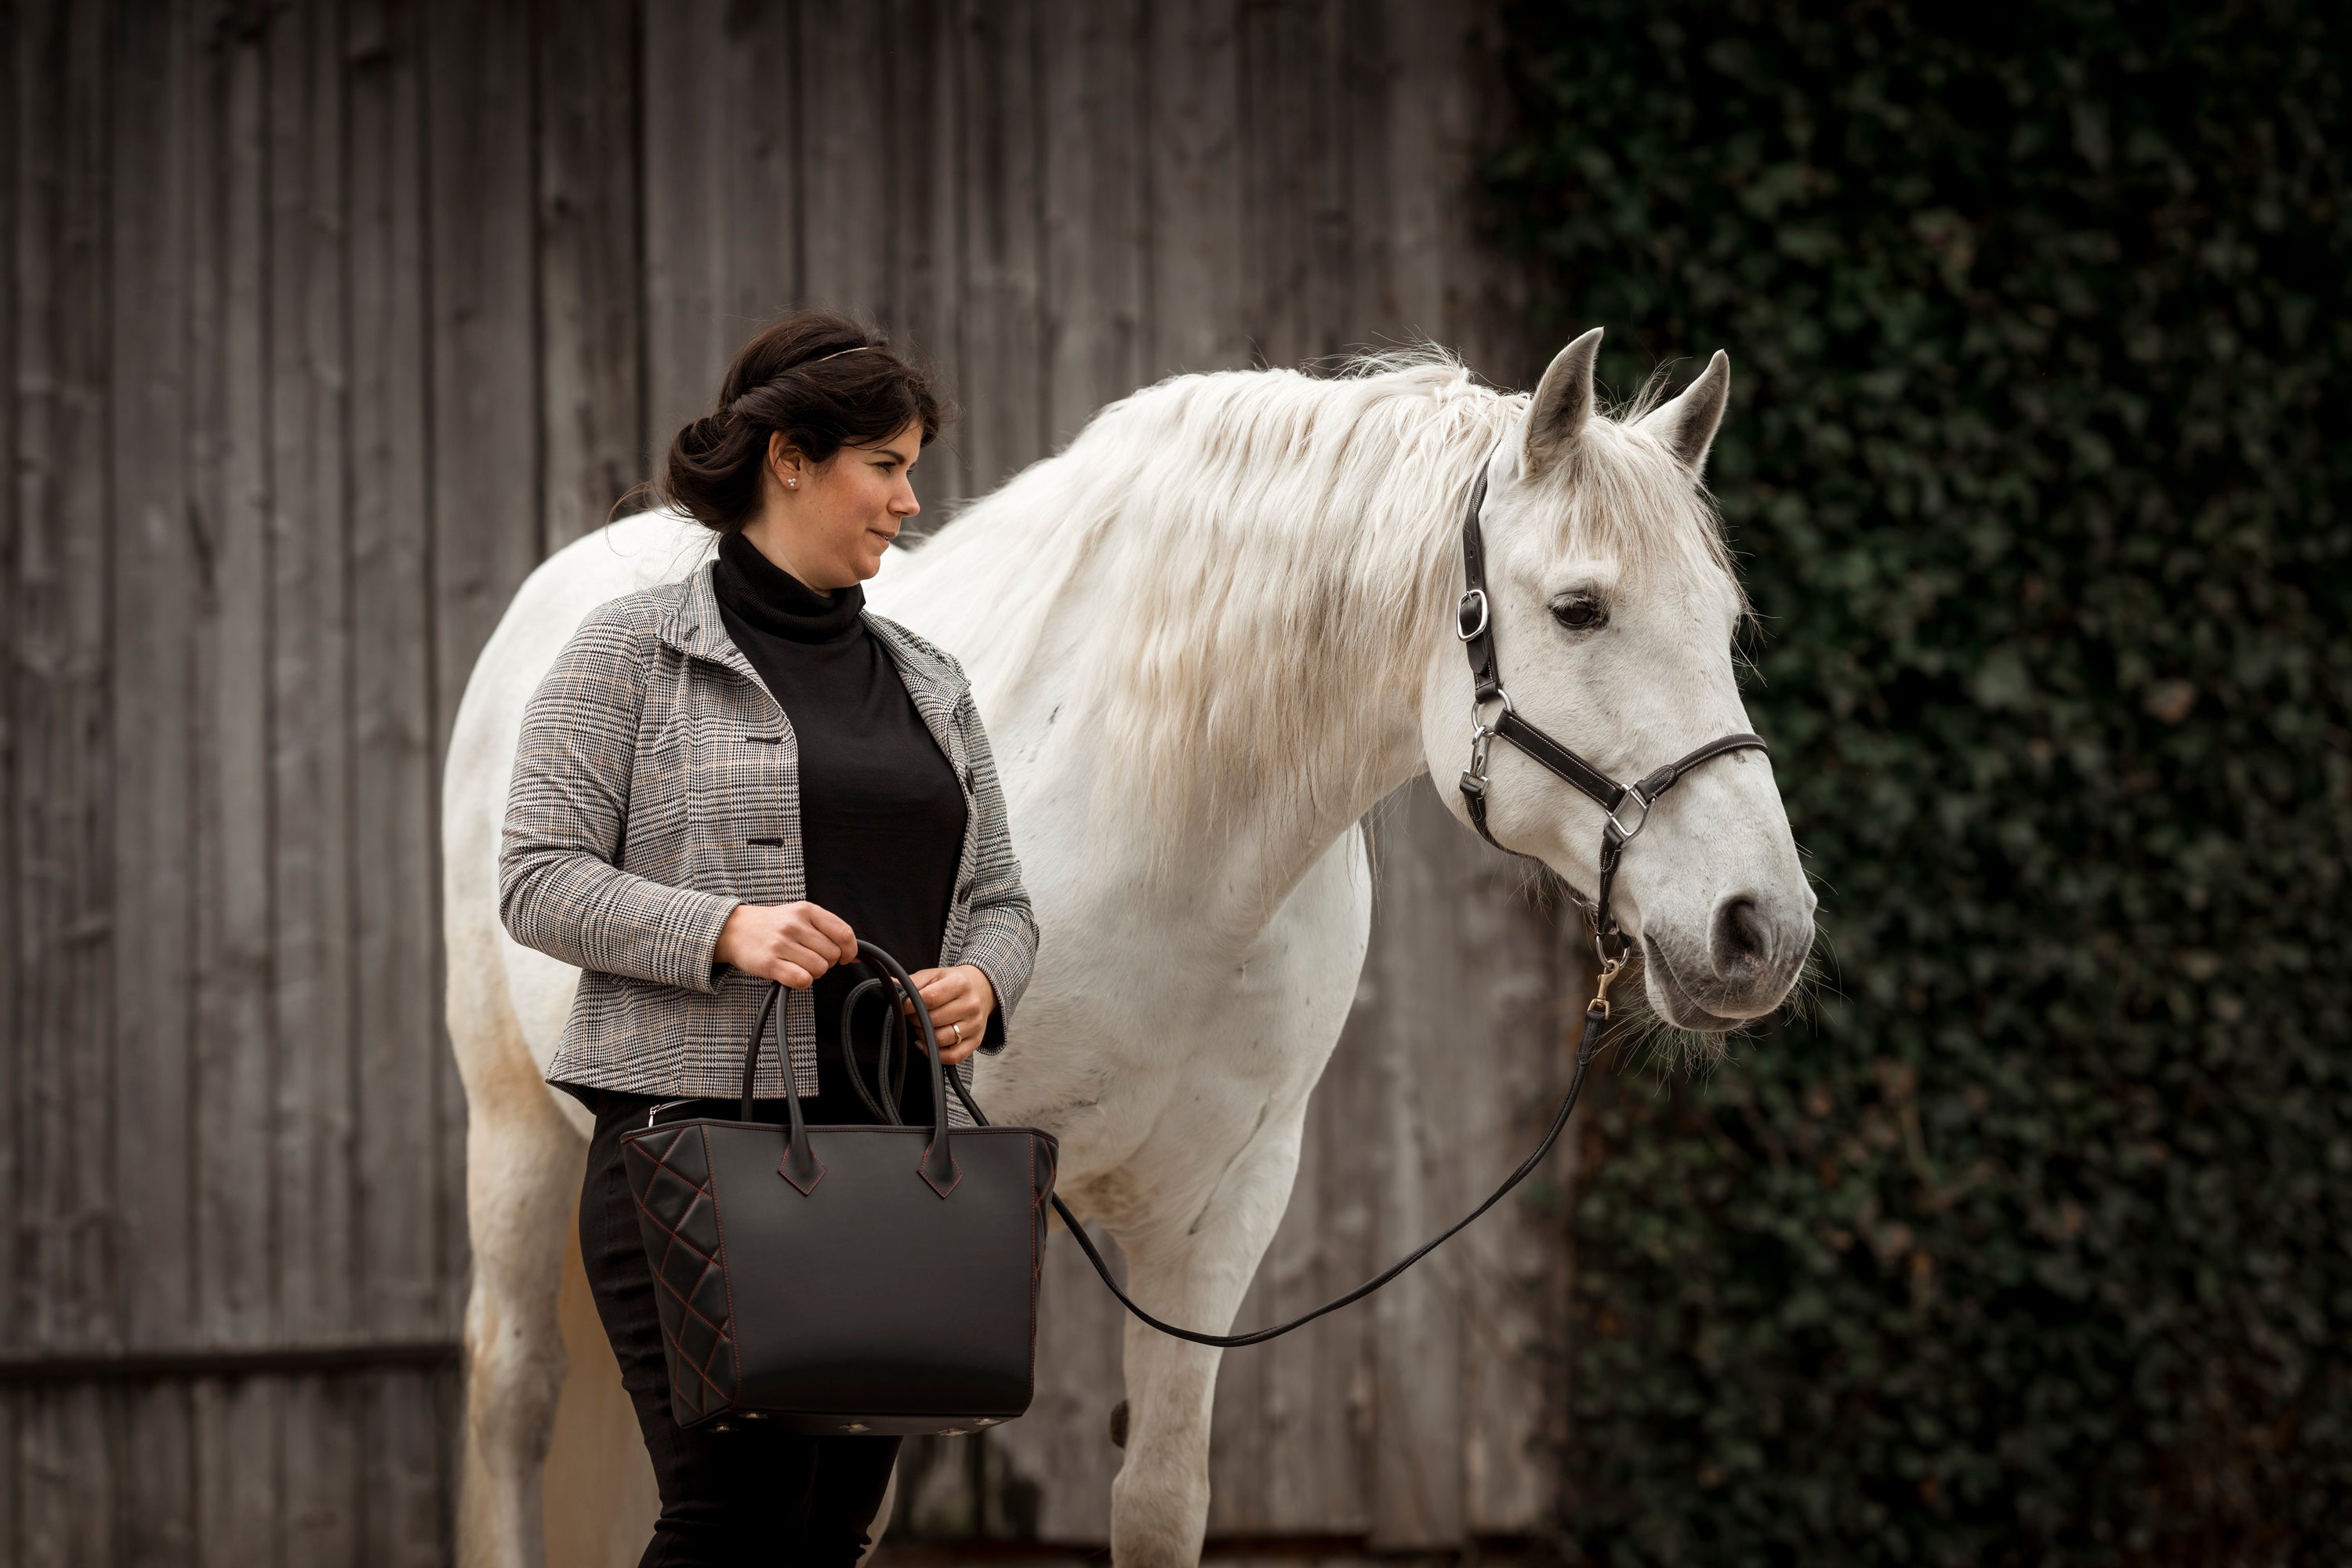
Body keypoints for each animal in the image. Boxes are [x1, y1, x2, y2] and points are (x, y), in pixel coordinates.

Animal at [445, 333, 1816, 1568]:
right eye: (1580, 610)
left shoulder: (1220, 1212)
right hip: (515, 1132)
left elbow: (1159, 1503)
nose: (1763, 929)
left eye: (1727, 620)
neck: (1178, 842)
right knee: (513, 1401)